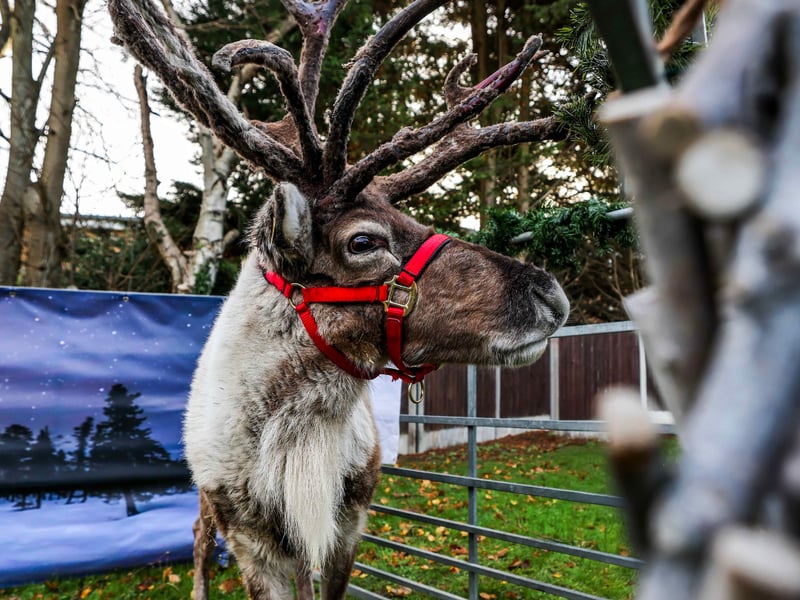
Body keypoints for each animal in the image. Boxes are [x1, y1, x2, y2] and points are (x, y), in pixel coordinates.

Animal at [108, 0, 569, 598]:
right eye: (363, 241)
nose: (551, 293)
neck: (296, 442)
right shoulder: (253, 545)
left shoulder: (344, 527)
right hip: (211, 509)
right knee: (197, 539)